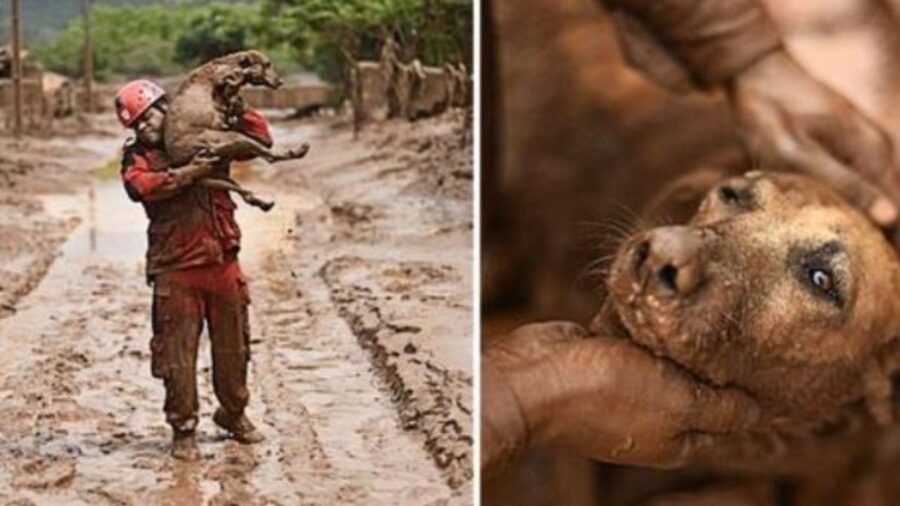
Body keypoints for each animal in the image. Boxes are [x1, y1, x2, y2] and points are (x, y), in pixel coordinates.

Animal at [163, 50, 312, 211]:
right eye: (267, 64)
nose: (281, 81)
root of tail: (178, 159)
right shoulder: (223, 77)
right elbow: (235, 78)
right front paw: (246, 73)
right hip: (229, 140)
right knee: (268, 156)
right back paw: (296, 152)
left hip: (212, 172)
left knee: (240, 189)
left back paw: (260, 201)